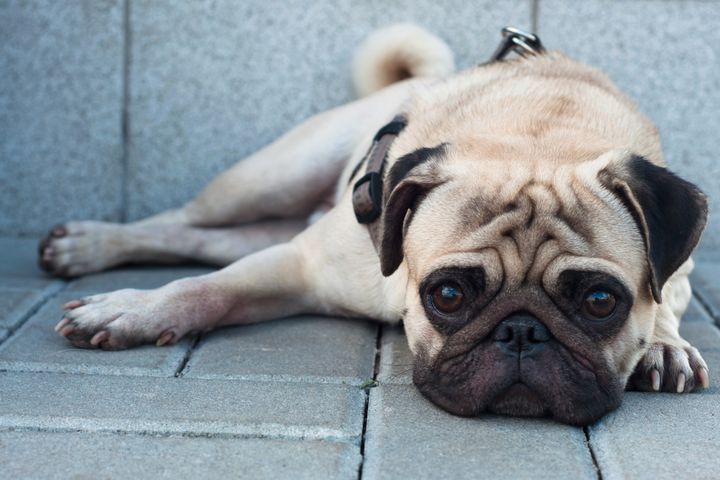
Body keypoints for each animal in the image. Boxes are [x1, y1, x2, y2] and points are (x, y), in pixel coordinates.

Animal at [42, 24, 712, 426]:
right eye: (448, 294)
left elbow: (668, 298)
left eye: (601, 302)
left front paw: (663, 345)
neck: (536, 136)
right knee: (183, 222)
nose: (522, 332)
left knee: (209, 242)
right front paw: (133, 310)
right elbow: (205, 290)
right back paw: (89, 245)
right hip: (268, 177)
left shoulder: (680, 267)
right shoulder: (300, 264)